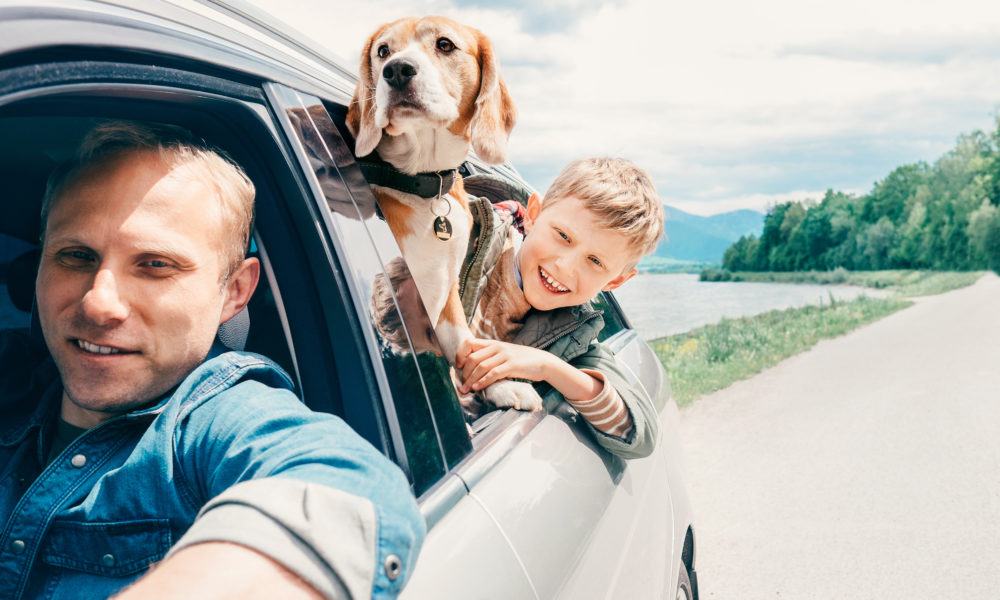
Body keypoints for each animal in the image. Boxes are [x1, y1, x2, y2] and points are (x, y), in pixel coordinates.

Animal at [348, 18, 544, 412]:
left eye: (444, 44)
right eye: (383, 51)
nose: (396, 70)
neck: (423, 185)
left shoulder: (444, 286)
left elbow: (463, 341)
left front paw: (498, 385)